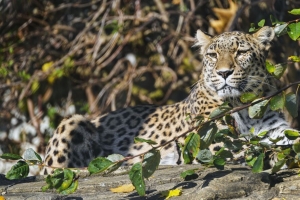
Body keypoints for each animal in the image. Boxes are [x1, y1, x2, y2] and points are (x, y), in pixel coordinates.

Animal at [42, 27, 296, 175]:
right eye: (213, 55)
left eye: (240, 52)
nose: (224, 73)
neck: (244, 105)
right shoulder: (212, 144)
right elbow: (254, 149)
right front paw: (276, 156)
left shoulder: (278, 131)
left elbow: (285, 142)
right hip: (72, 122)